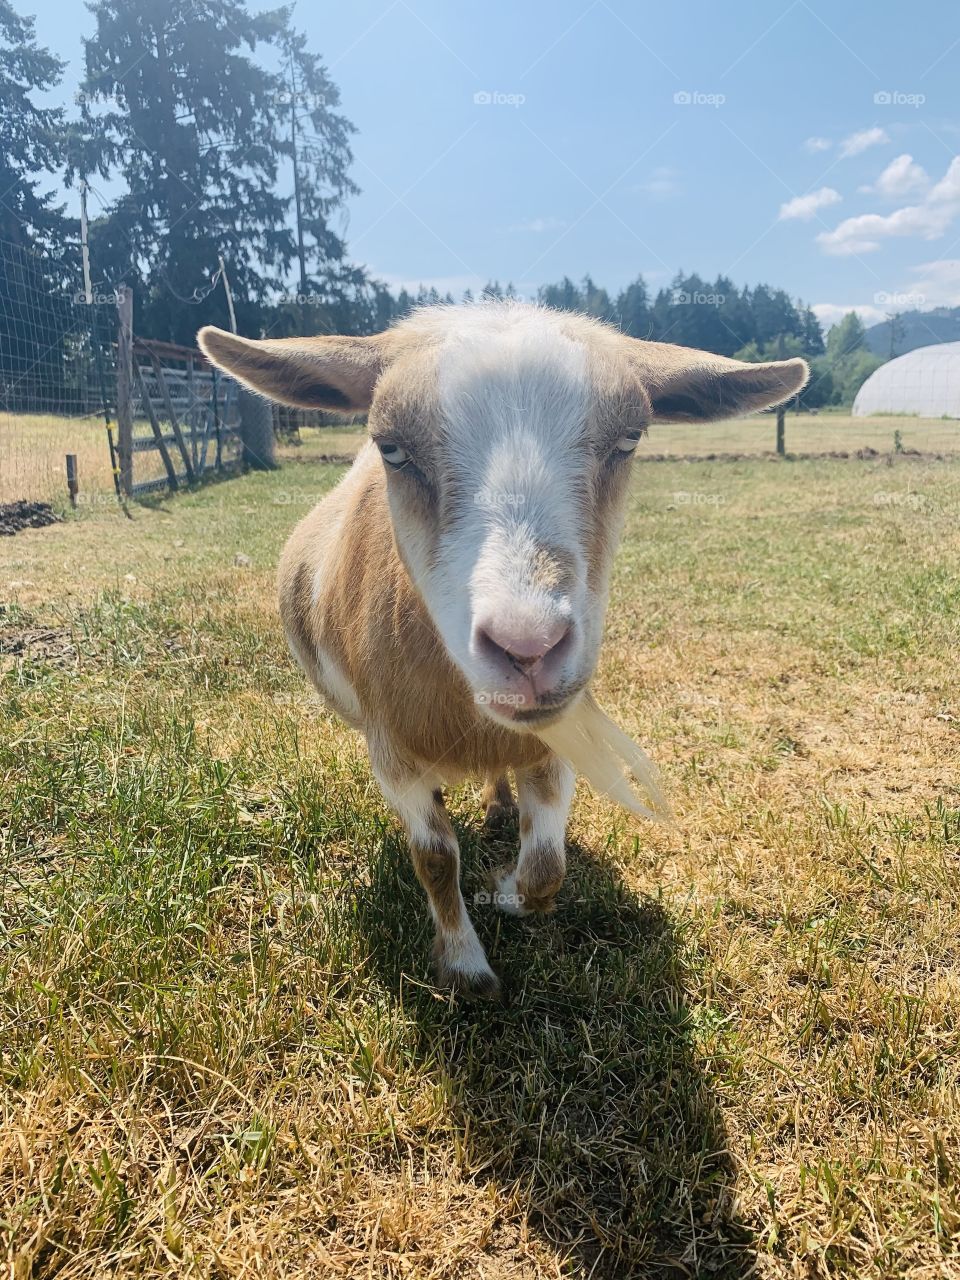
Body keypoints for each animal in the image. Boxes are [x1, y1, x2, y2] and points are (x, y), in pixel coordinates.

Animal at [199, 303, 807, 997]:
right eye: (392, 448)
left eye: (630, 440)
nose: (528, 647)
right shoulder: (390, 749)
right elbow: (435, 856)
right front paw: (466, 968)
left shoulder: (556, 736)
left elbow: (546, 866)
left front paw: (507, 890)